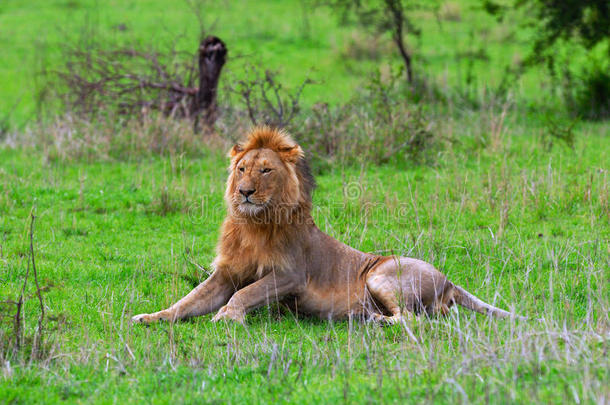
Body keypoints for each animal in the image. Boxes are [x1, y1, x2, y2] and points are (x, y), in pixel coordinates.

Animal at [131, 127, 516, 326]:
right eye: (242, 169)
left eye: (265, 170)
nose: (245, 192)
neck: (254, 222)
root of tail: (448, 279)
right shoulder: (227, 273)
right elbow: (187, 301)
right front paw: (151, 316)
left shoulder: (291, 275)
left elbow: (247, 293)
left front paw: (228, 315)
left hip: (380, 274)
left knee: (413, 318)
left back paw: (376, 321)